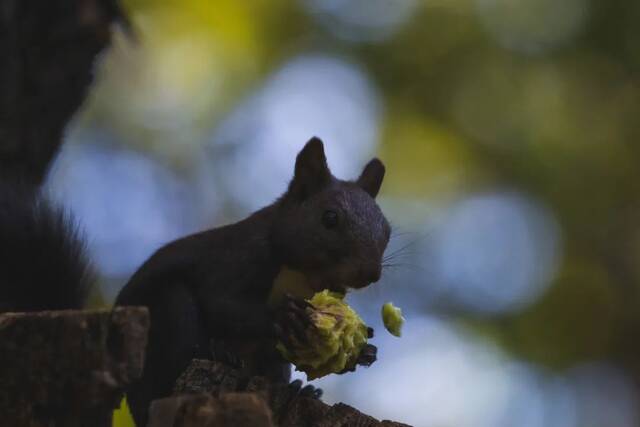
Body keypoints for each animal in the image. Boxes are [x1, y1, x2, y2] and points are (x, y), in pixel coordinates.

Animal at [117, 138, 392, 427]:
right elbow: (221, 303)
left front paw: (362, 352)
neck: (300, 273)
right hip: (166, 315)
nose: (370, 274)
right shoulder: (238, 257)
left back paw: (300, 390)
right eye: (330, 218)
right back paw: (221, 354)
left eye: (387, 229)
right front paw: (285, 316)